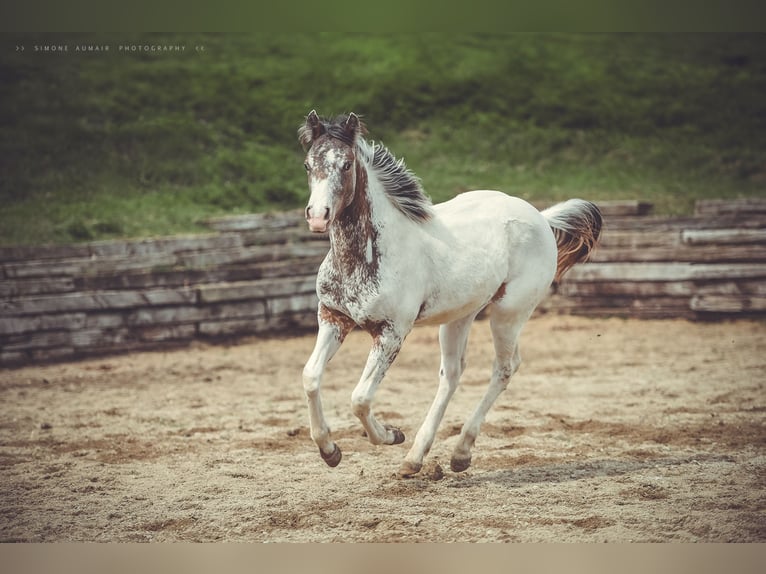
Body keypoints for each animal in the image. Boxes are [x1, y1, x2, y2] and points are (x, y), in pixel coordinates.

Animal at [298, 110, 602, 478]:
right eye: (307, 165)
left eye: (345, 165)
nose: (318, 217)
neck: (367, 255)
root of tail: (542, 218)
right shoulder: (333, 317)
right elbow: (311, 377)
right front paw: (330, 451)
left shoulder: (392, 332)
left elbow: (360, 398)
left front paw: (391, 435)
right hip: (460, 316)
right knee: (453, 373)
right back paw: (415, 459)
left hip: (509, 313)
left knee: (504, 367)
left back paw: (459, 452)